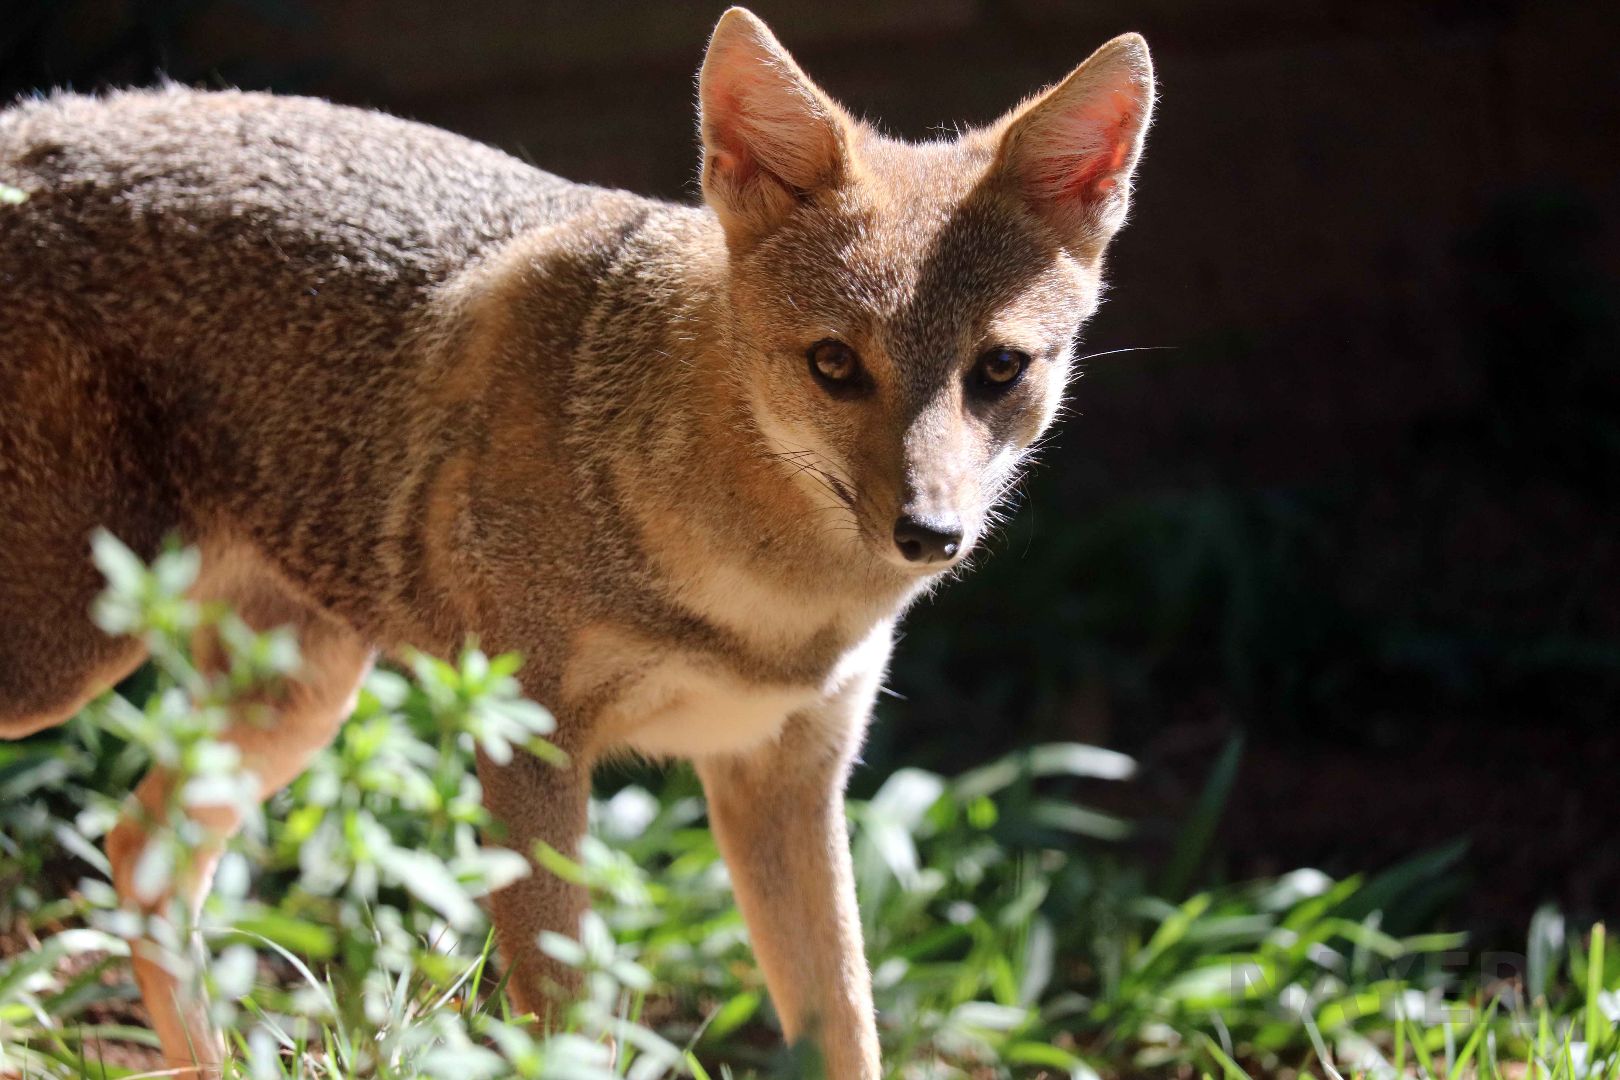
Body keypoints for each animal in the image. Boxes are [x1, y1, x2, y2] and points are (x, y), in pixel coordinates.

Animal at [0, 8, 1154, 1077]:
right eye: (835, 364)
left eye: (998, 371)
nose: (930, 531)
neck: (769, 600)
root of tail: (34, 121)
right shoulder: (529, 746)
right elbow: (563, 1031)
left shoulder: (787, 773)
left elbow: (848, 1030)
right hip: (72, 664)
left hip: (297, 698)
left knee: (137, 849)